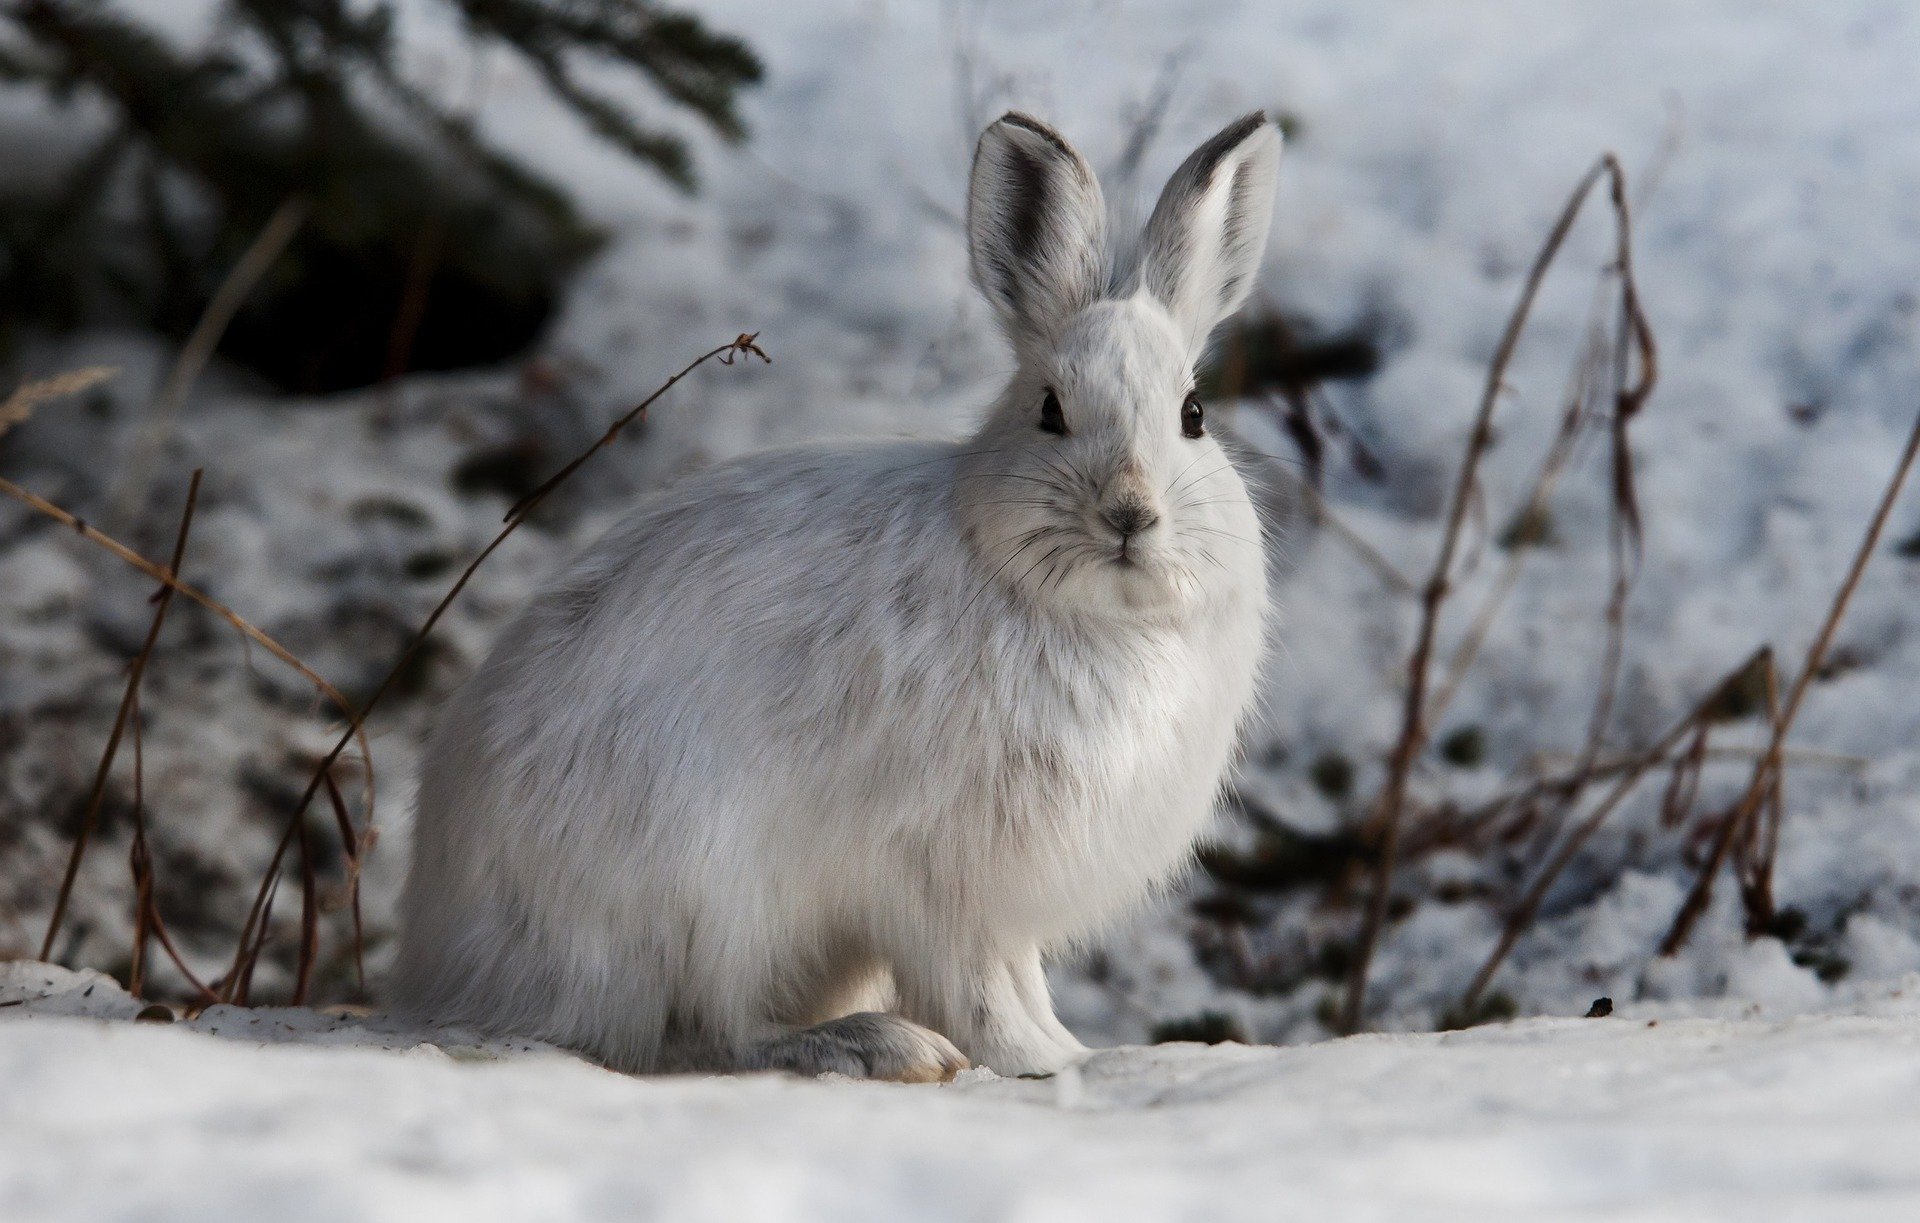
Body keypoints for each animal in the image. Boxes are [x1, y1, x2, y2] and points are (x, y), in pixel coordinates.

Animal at [392, 109, 1282, 1081]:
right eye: (1050, 410)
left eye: (1193, 416)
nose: (1129, 513)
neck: (1089, 613)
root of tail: (457, 961)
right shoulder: (938, 873)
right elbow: (977, 984)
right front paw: (1035, 1060)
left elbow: (1020, 979)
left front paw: (1070, 1049)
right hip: (705, 889)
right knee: (711, 1031)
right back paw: (874, 1044)